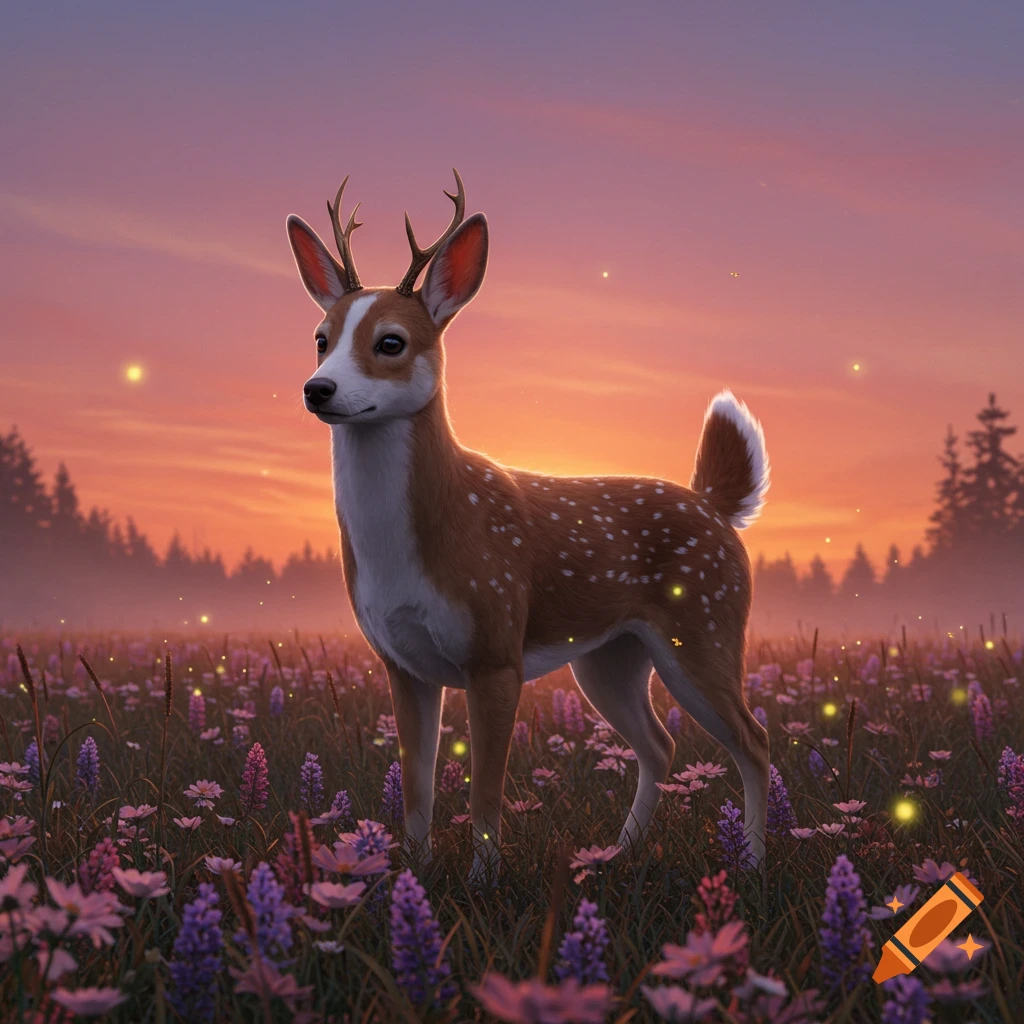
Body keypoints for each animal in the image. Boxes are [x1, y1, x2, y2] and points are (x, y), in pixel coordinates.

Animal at [285, 170, 771, 884]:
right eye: (322, 337)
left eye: (391, 342)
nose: (318, 389)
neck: (414, 545)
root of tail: (715, 505)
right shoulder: (402, 663)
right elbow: (416, 785)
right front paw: (413, 877)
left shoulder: (496, 650)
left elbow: (486, 789)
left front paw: (482, 882)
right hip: (609, 658)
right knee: (660, 744)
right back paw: (617, 853)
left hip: (706, 627)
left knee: (752, 740)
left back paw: (753, 865)